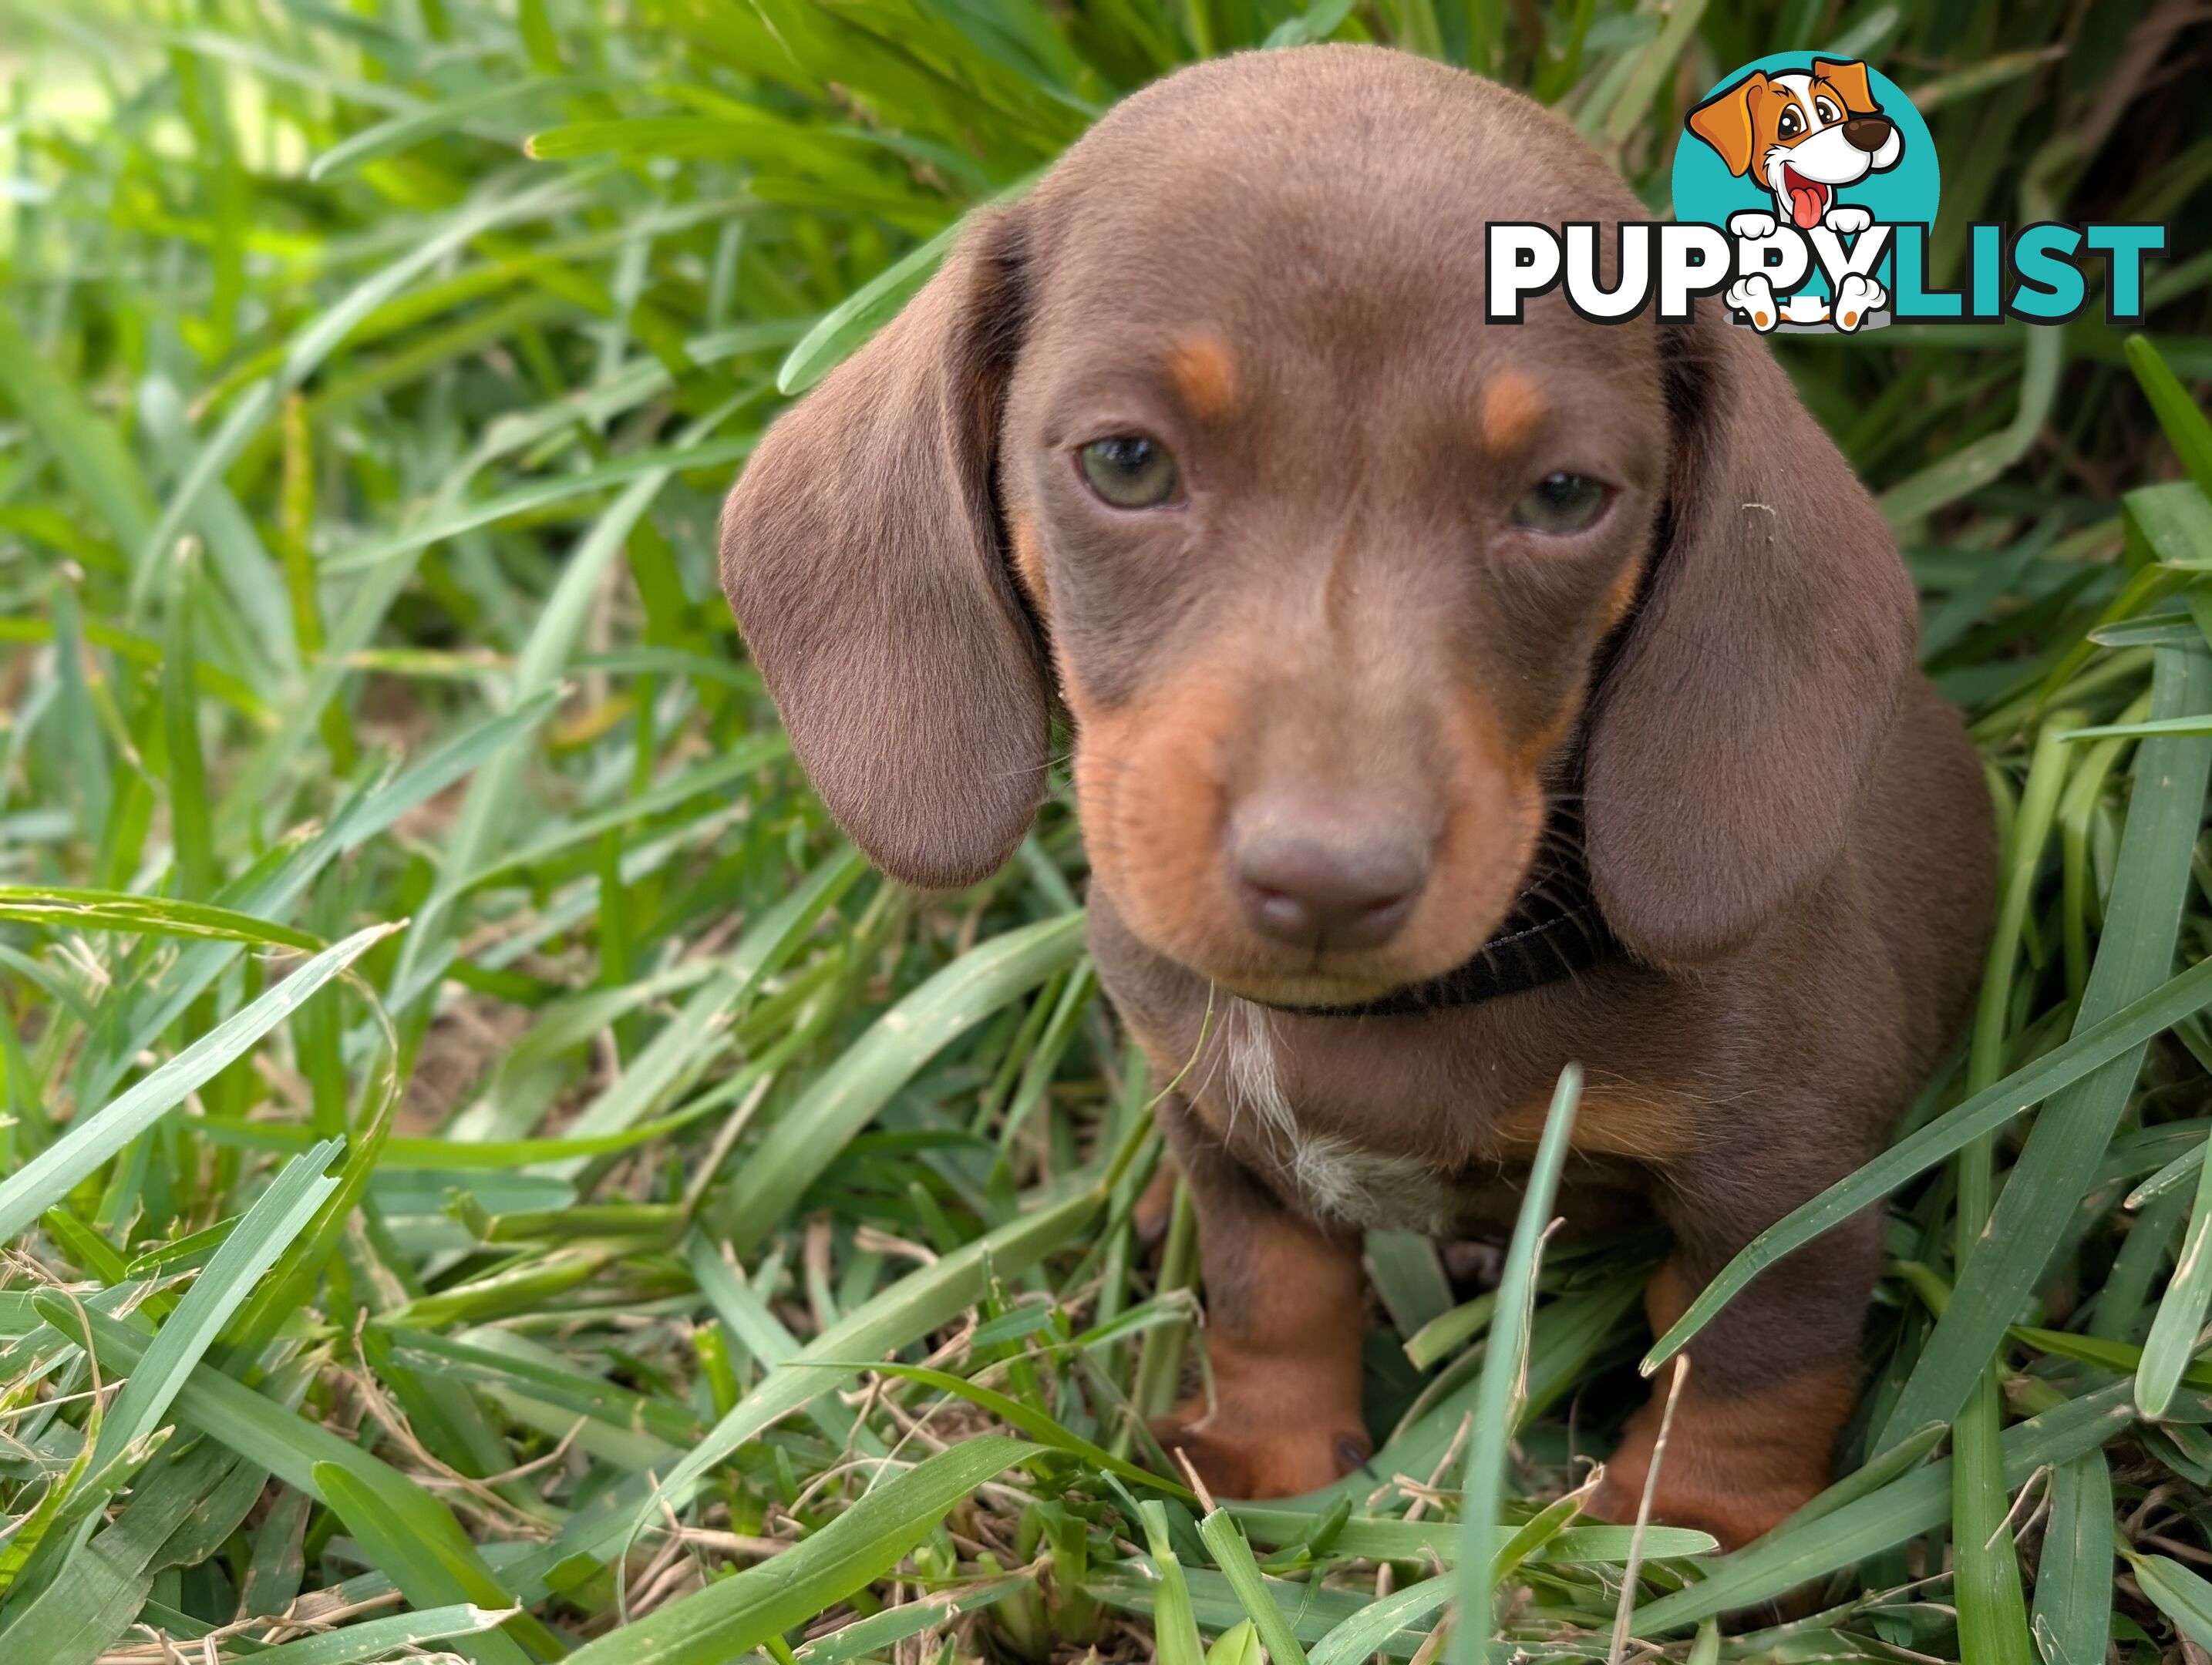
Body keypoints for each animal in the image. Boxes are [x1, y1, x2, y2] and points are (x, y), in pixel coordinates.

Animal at [716, 42, 1999, 1547]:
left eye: (1564, 495)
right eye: (1124, 461)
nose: (1326, 880)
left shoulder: (1785, 1173)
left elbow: (1742, 1354)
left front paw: (1684, 1533)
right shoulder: (1219, 1135)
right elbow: (1269, 1291)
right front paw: (1268, 1460)